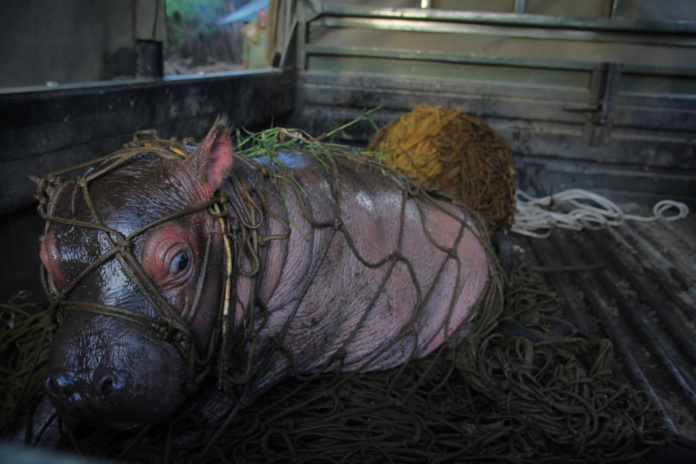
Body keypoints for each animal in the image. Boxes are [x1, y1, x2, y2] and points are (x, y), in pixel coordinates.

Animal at [16, 121, 492, 449]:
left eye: (179, 260)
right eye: (47, 262)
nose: (82, 383)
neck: (246, 210)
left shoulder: (304, 326)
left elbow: (250, 375)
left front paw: (188, 430)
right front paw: (32, 433)